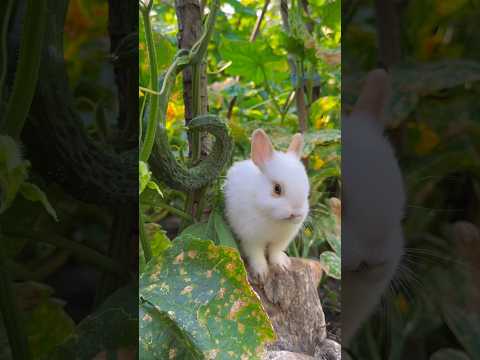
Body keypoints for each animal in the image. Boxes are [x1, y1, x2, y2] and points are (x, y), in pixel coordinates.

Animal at [223, 129, 310, 282]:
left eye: (306, 189)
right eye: (277, 189)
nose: (297, 213)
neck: (272, 218)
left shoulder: (281, 241)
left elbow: (275, 252)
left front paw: (281, 265)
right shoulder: (251, 239)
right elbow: (256, 255)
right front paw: (261, 274)